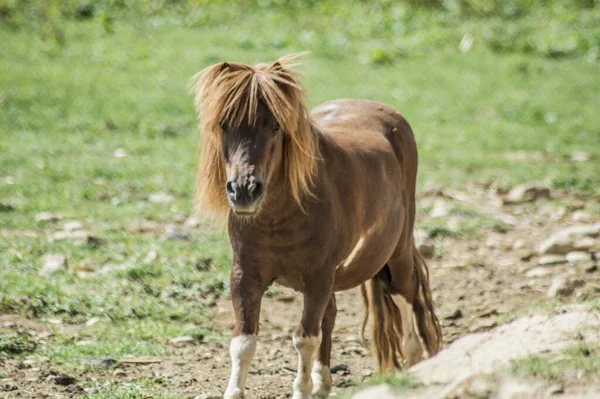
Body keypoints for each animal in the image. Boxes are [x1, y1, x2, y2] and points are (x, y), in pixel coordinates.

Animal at [192, 54, 440, 399]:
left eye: (275, 126)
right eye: (224, 125)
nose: (243, 191)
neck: (278, 218)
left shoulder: (317, 278)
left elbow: (305, 339)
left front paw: (302, 389)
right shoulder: (244, 276)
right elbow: (243, 343)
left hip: (396, 254)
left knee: (405, 296)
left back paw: (413, 364)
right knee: (331, 316)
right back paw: (323, 382)